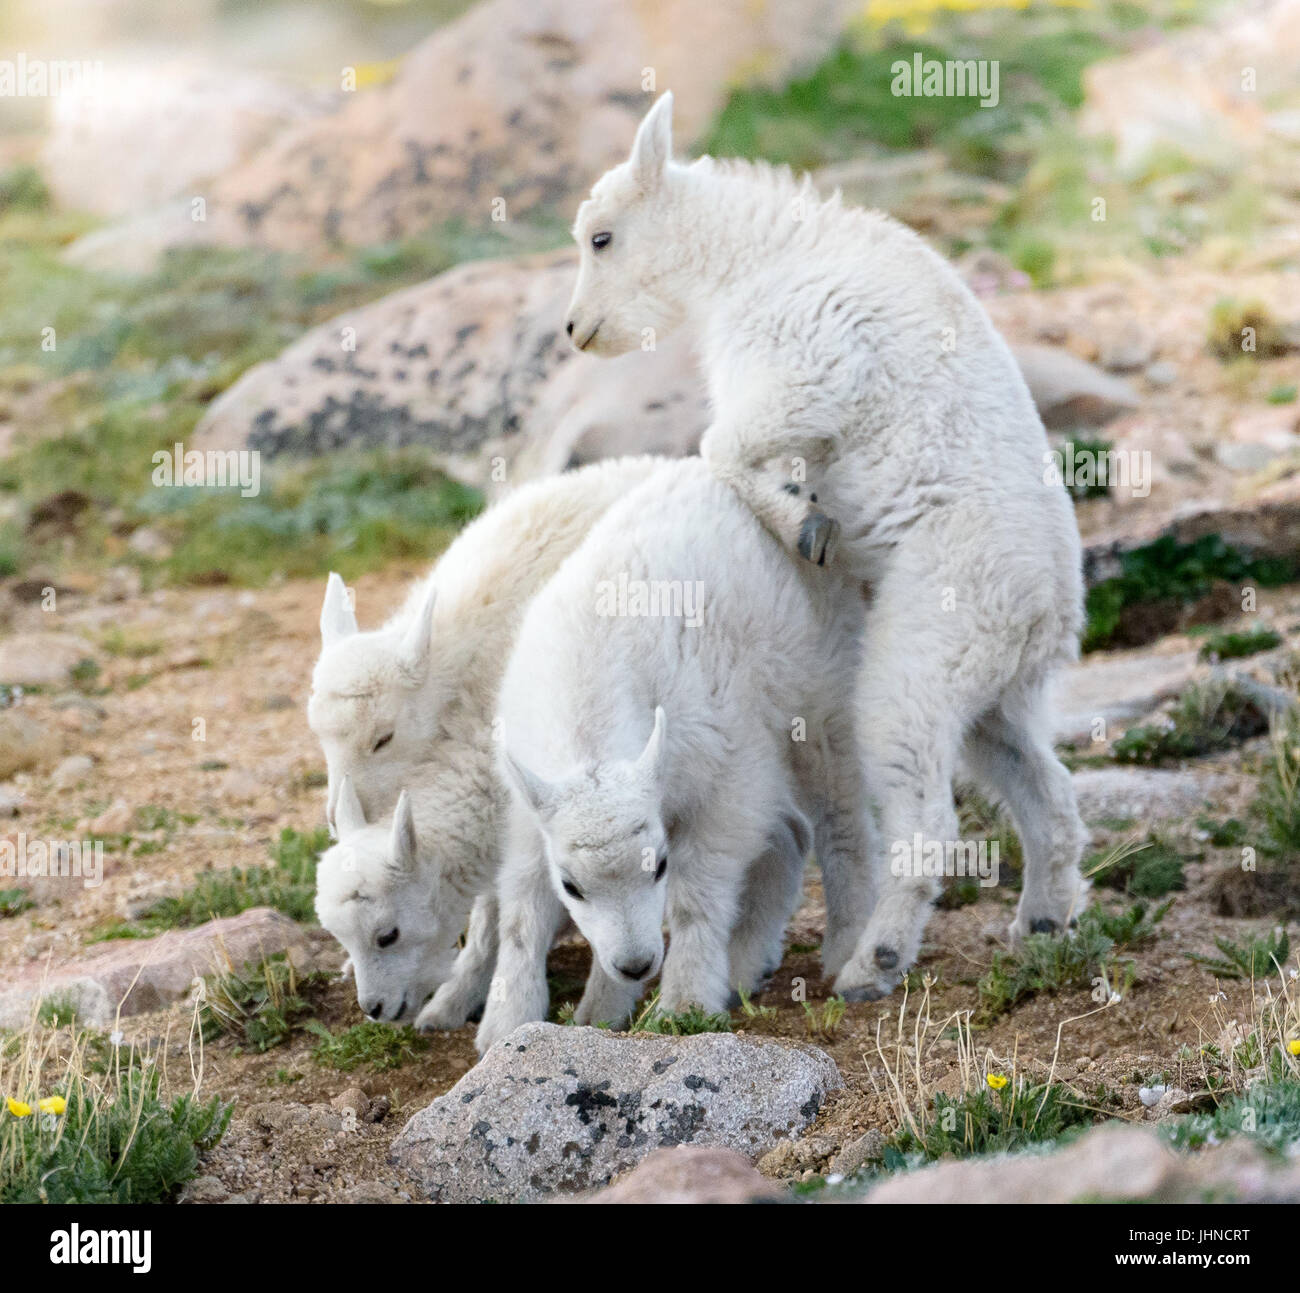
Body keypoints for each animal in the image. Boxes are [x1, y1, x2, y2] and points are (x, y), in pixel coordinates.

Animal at [478, 460, 873, 1055]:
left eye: (659, 865)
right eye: (571, 886)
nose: (637, 966)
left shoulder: (725, 773)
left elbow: (695, 896)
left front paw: (681, 1007)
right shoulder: (536, 811)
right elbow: (522, 911)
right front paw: (520, 1024)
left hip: (822, 701)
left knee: (840, 822)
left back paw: (849, 950)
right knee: (790, 835)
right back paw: (743, 969)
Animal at [569, 93, 1086, 1003]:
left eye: (601, 237)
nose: (576, 329)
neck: (752, 256)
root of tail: (1051, 609)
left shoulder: (806, 362)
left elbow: (722, 443)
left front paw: (801, 522)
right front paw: (800, 511)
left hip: (928, 641)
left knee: (925, 809)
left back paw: (872, 962)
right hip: (996, 686)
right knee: (1040, 781)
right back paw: (1043, 921)